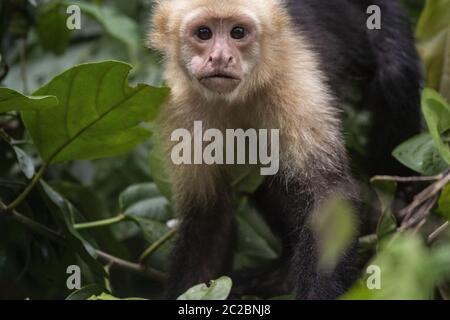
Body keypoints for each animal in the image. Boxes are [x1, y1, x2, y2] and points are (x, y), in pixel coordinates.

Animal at [149, 0, 424, 300]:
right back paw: (280, 274)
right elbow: (209, 217)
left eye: (238, 32)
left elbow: (326, 199)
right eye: (203, 33)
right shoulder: (183, 106)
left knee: (393, 75)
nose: (221, 58)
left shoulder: (292, 81)